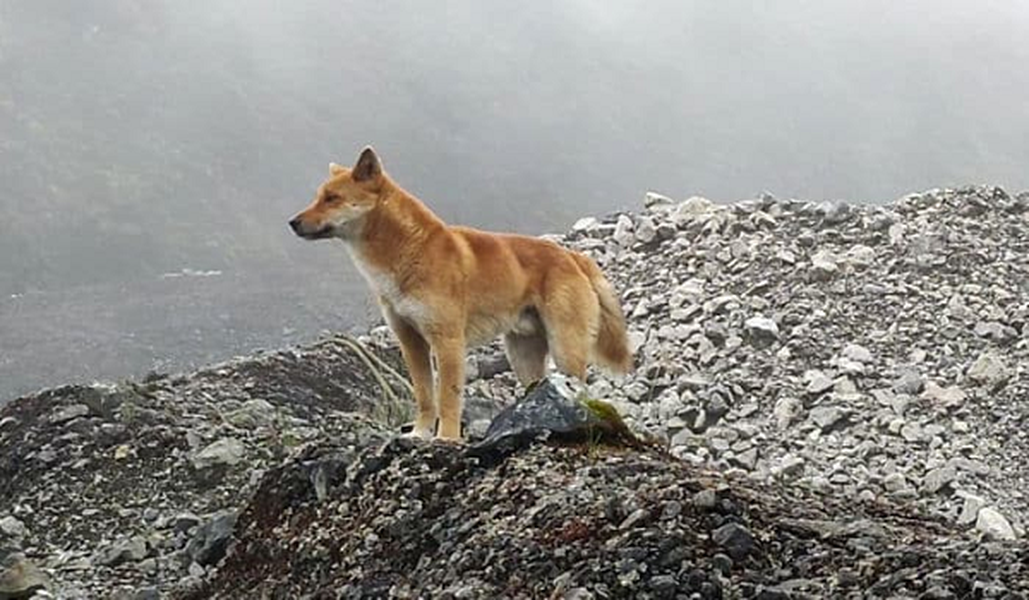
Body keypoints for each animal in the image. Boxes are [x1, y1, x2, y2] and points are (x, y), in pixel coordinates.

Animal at [286, 147, 629, 438]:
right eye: (318, 197)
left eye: (332, 198)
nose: (292, 222)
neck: (408, 252)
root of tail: (572, 256)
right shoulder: (411, 342)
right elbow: (426, 396)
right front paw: (420, 434)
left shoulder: (447, 340)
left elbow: (448, 399)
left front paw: (446, 439)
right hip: (523, 355)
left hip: (565, 348)